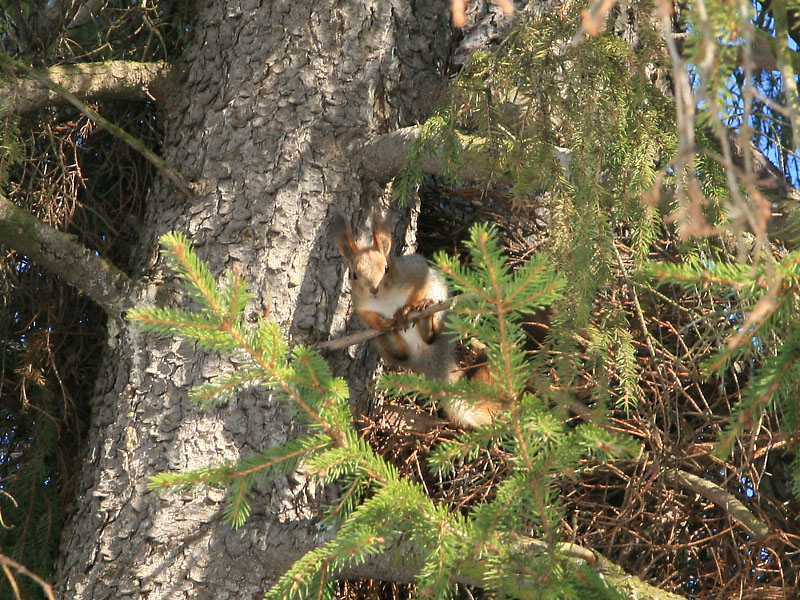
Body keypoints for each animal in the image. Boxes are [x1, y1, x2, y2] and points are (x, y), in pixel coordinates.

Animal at [330, 213, 494, 428]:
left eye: (387, 267)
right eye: (354, 275)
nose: (374, 289)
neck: (385, 299)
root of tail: (429, 360)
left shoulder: (416, 270)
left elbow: (417, 289)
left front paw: (408, 308)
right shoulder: (361, 305)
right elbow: (369, 317)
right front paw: (384, 323)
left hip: (442, 310)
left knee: (433, 334)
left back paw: (425, 321)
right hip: (386, 349)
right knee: (400, 354)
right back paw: (390, 335)